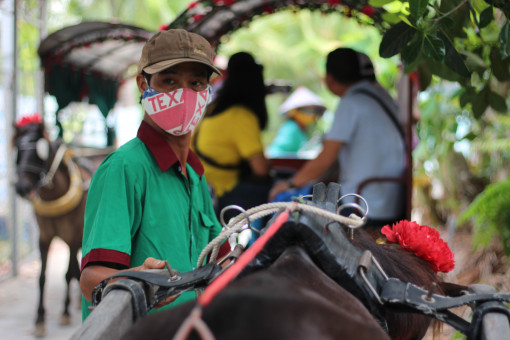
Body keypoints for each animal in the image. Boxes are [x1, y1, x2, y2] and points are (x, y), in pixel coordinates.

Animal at [12, 117, 107, 338]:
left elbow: (67, 273)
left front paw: (64, 311)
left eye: (39, 152)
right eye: (18, 149)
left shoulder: (72, 237)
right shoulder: (44, 238)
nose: (22, 188)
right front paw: (39, 320)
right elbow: (42, 277)